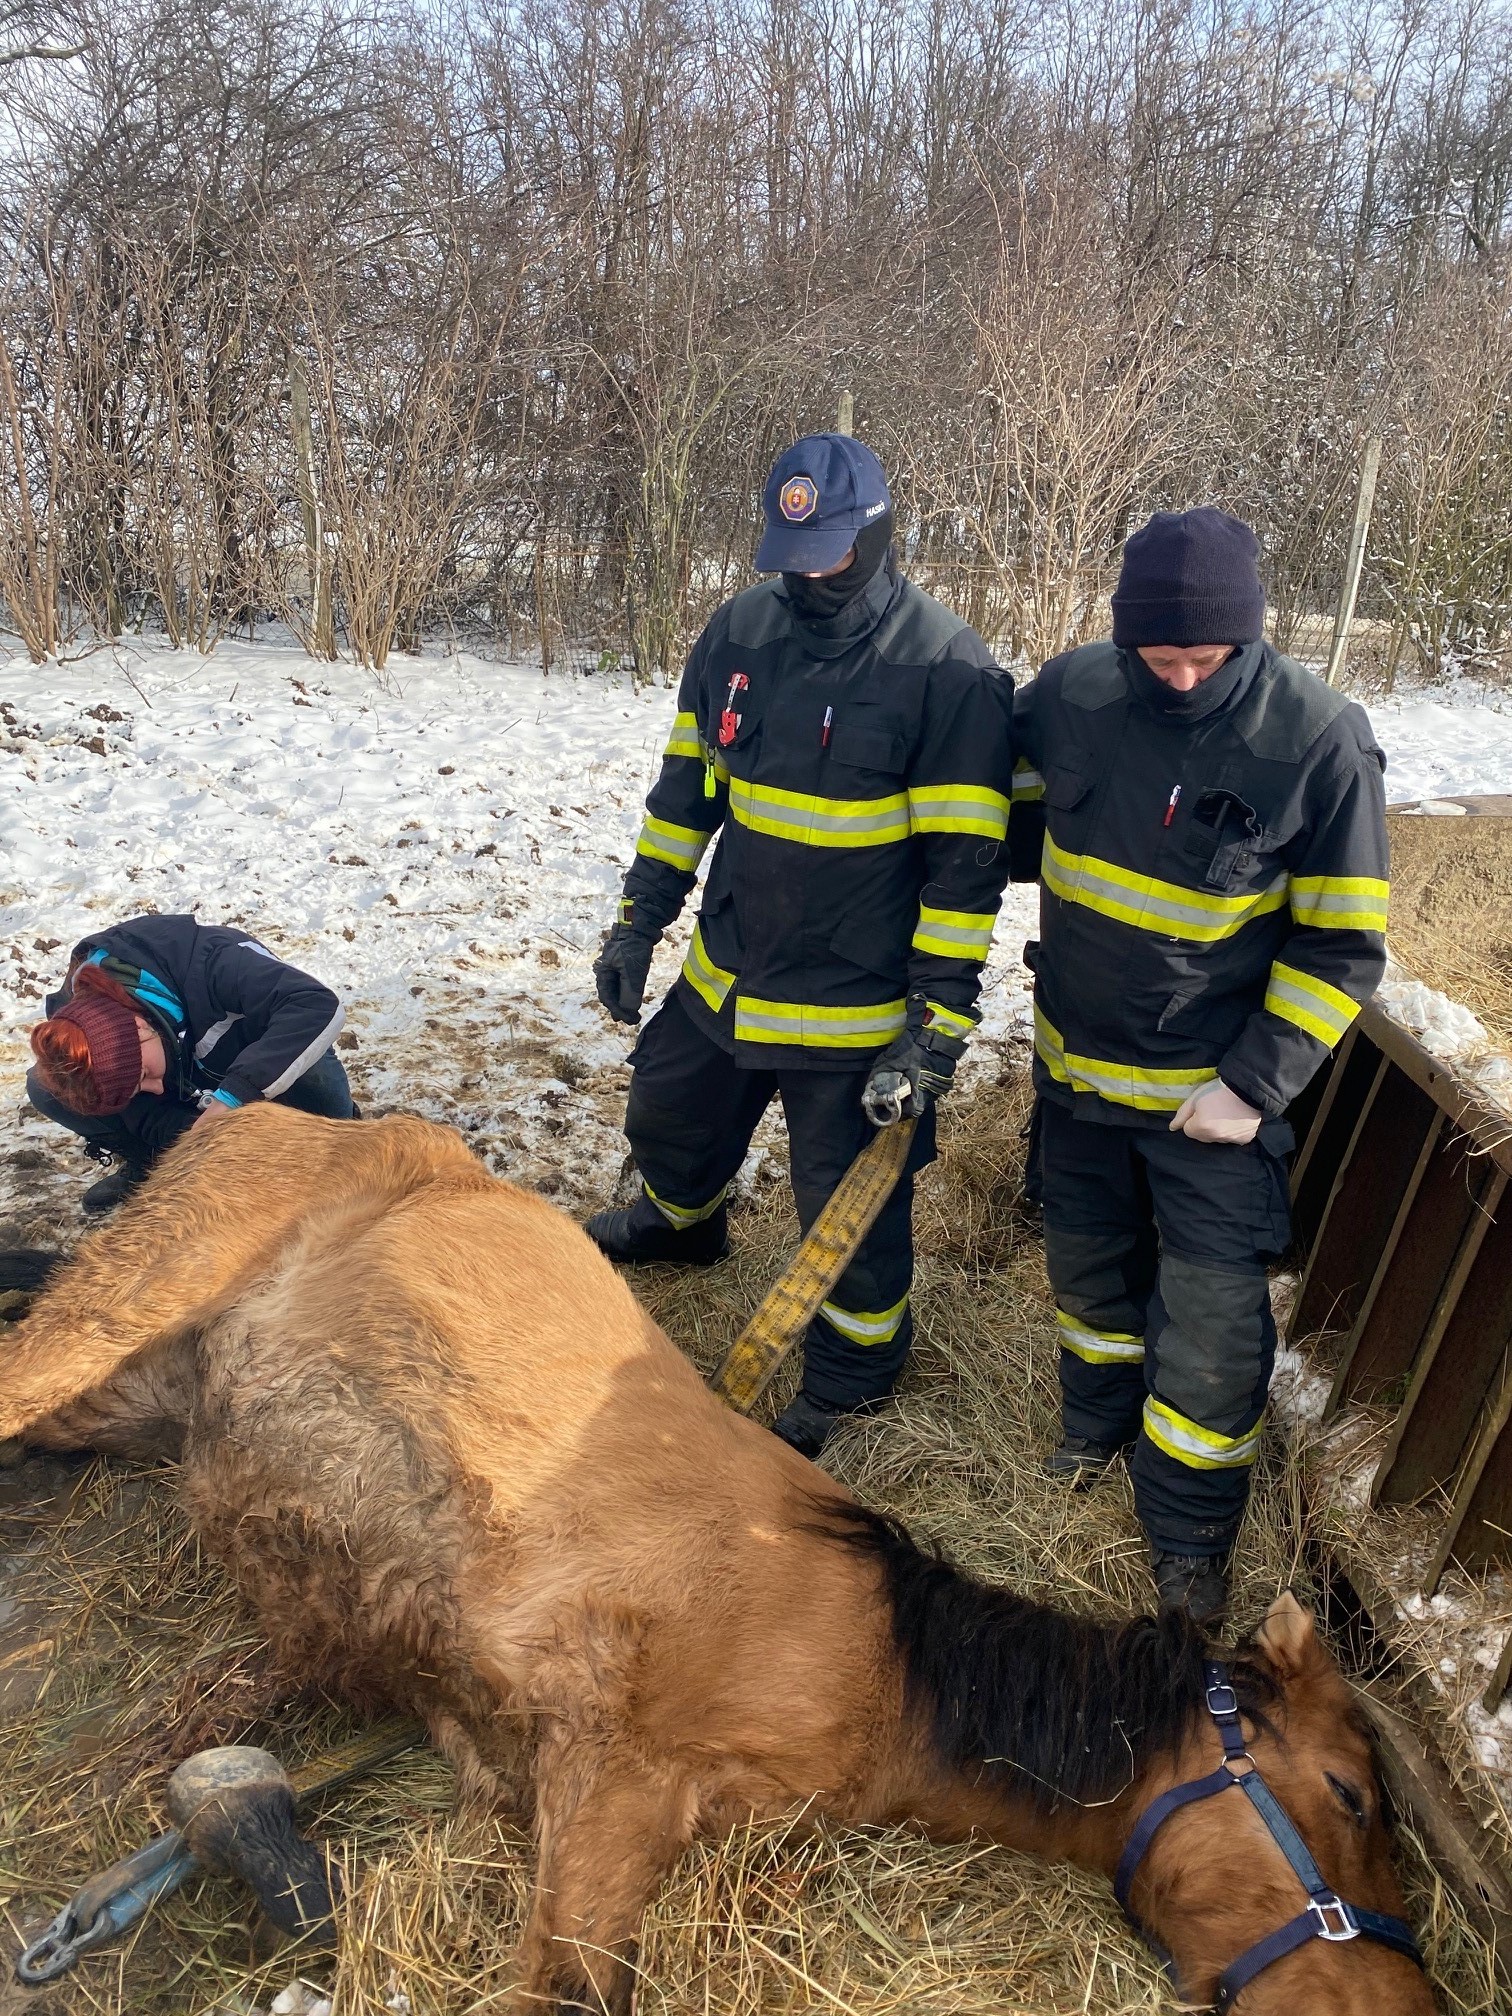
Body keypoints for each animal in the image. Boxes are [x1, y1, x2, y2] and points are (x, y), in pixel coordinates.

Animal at [2, 1112, 1435, 2007]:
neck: (888, 1668)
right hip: (99, 1328)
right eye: (1352, 1796)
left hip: (135, 1404)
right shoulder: (610, 1773)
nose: (1397, 2002)